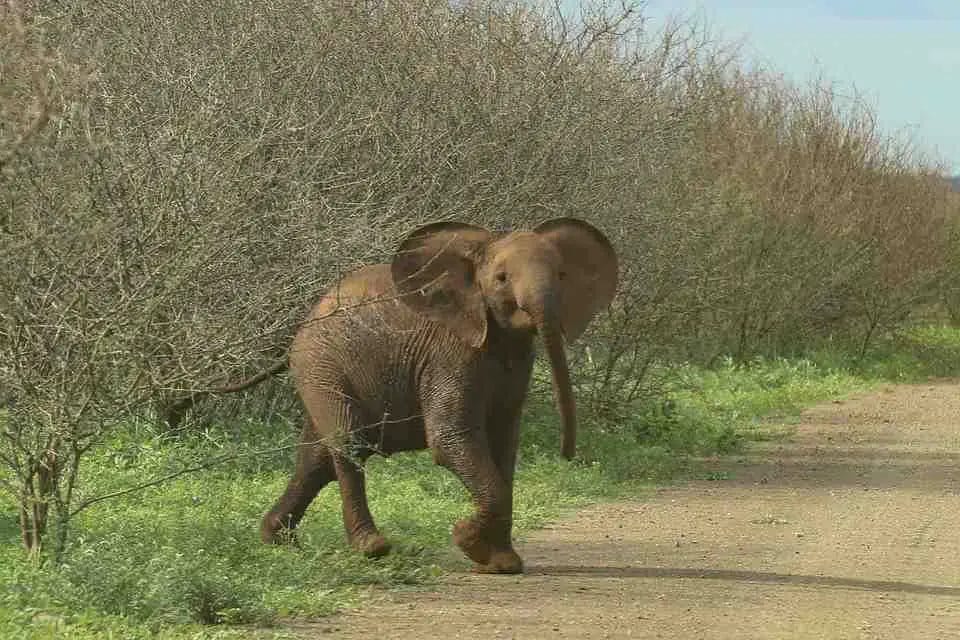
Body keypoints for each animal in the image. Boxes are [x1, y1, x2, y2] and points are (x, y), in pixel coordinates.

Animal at [260, 217, 618, 573]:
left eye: (562, 276)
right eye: (501, 279)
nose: (567, 454)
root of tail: (307, 318)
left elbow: (504, 443)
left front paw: (500, 563)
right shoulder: (449, 353)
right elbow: (450, 437)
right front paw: (466, 539)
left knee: (316, 459)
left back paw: (277, 539)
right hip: (321, 364)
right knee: (349, 442)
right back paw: (371, 548)